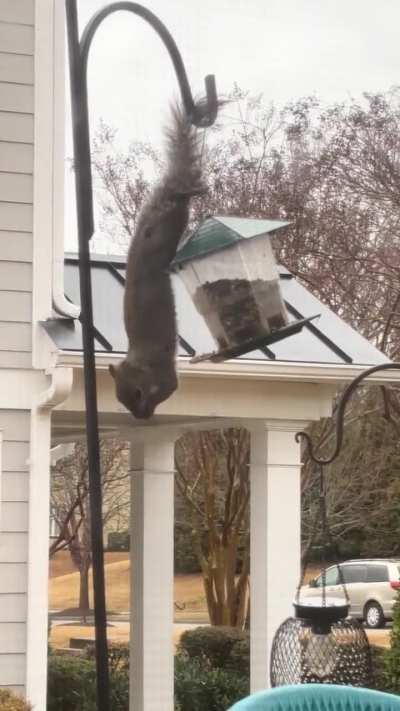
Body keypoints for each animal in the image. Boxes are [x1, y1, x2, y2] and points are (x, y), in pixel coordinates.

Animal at [109, 103, 206, 419]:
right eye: (122, 400)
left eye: (136, 395)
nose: (142, 417)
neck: (140, 366)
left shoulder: (164, 377)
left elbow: (170, 387)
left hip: (166, 228)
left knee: (178, 200)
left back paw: (190, 190)